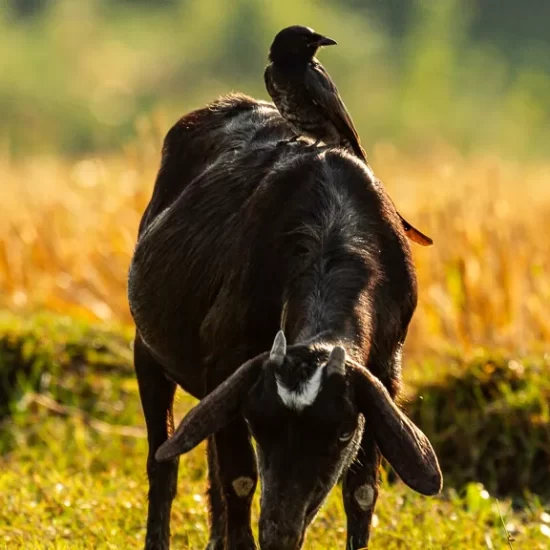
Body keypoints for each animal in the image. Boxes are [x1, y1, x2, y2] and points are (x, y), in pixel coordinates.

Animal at [128, 92, 444, 548]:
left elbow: (362, 492)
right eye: (260, 425)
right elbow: (240, 478)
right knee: (163, 462)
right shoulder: (226, 361)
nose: (279, 532)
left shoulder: (385, 373)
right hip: (147, 351)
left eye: (341, 433)